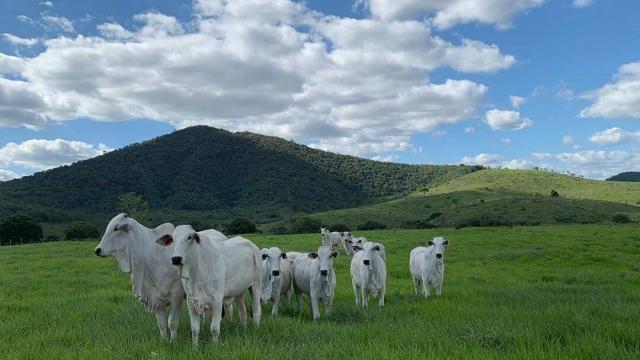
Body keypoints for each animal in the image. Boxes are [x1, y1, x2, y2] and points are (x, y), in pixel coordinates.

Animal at [94, 214, 182, 344]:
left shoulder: (177, 296)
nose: (97, 250)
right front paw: (164, 341)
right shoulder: (155, 297)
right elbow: (161, 323)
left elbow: (172, 322)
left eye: (116, 228)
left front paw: (173, 342)